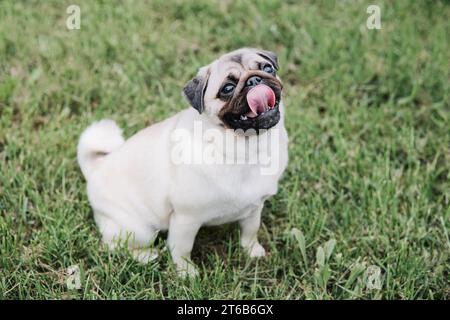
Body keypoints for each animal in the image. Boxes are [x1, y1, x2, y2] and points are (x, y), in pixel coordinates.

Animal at [77, 47, 288, 276]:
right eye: (227, 88)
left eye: (267, 68)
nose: (255, 80)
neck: (247, 148)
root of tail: (96, 167)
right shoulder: (186, 218)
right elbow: (182, 248)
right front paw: (186, 273)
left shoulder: (255, 207)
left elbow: (250, 230)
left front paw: (252, 251)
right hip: (138, 230)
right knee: (113, 245)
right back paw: (146, 256)